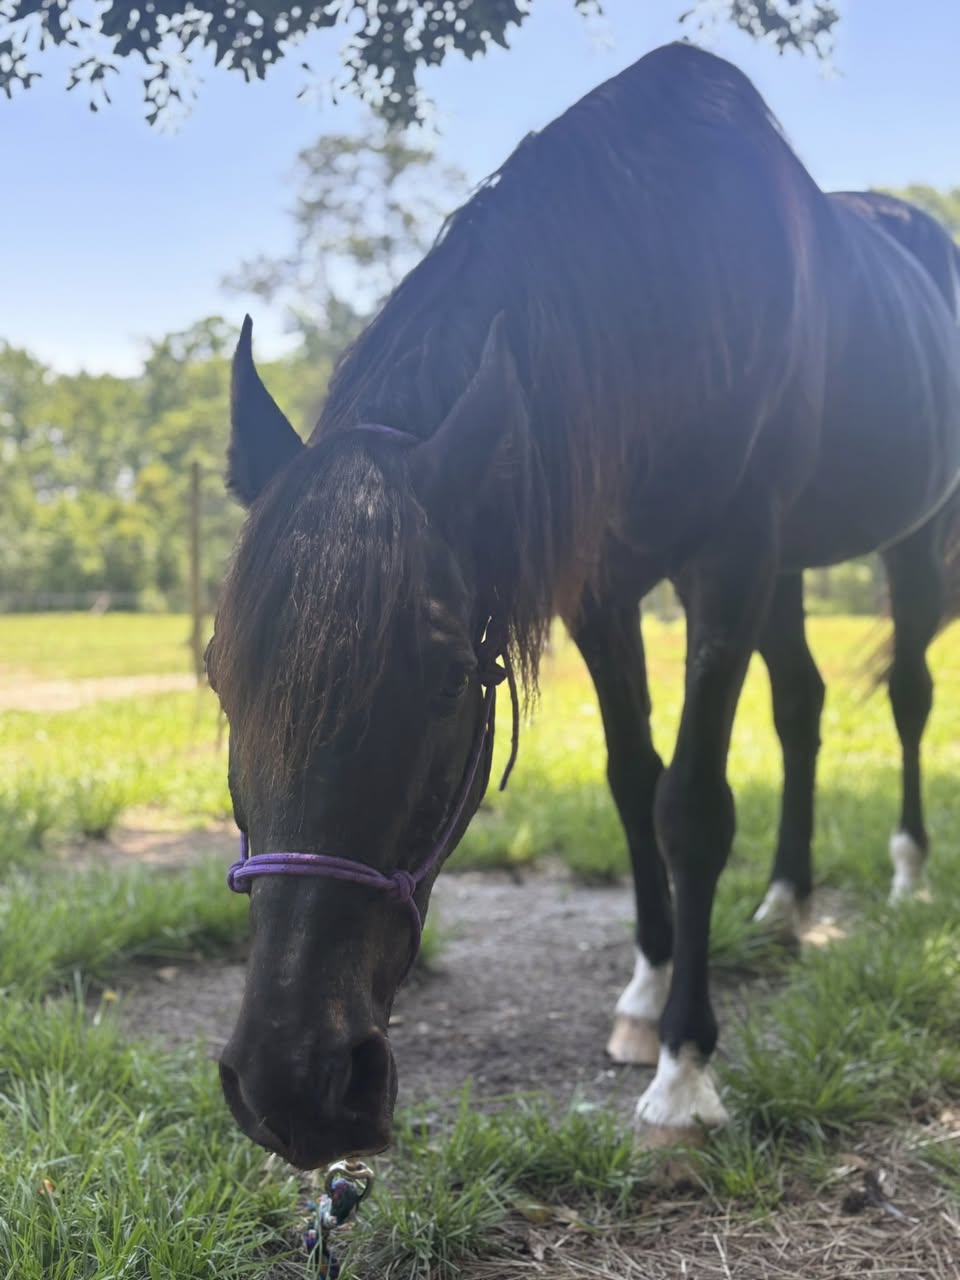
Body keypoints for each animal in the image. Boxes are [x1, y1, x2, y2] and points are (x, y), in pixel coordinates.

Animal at [206, 43, 960, 1167]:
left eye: (445, 679)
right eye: (220, 675)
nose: (291, 1087)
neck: (670, 282)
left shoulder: (727, 562)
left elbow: (690, 803)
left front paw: (684, 1072)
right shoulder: (604, 590)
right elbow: (629, 778)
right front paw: (646, 992)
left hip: (901, 541)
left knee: (906, 693)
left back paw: (908, 875)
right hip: (788, 570)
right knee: (803, 704)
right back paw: (788, 902)